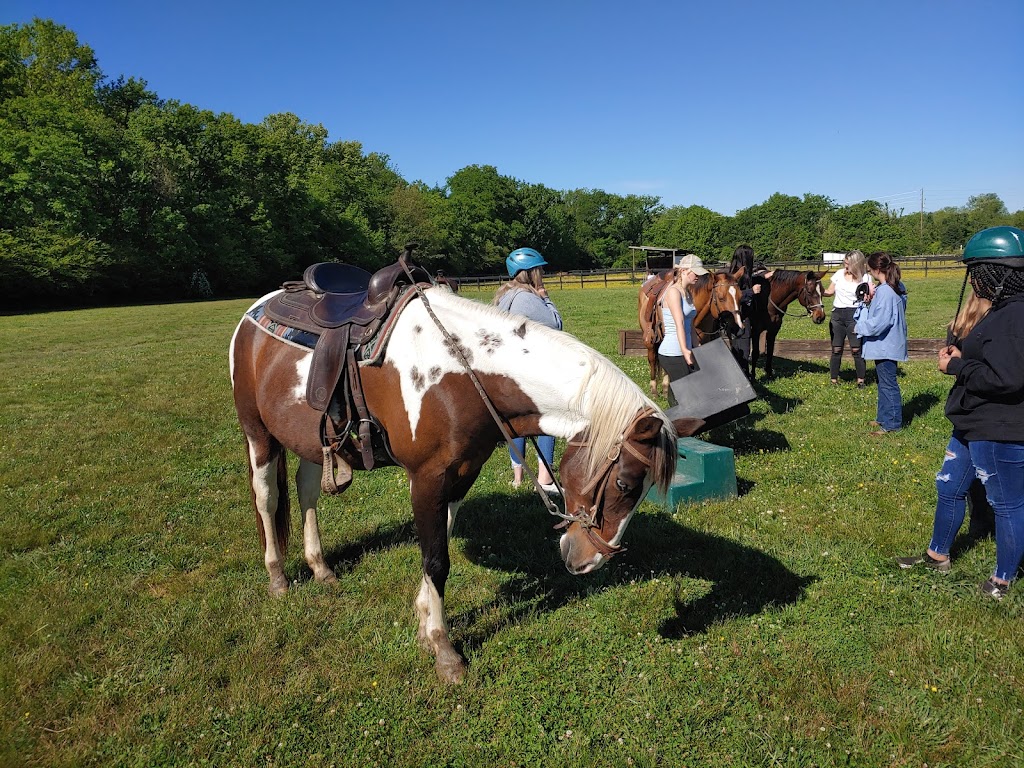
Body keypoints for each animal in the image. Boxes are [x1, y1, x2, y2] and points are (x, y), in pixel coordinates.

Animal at [230, 280, 704, 679]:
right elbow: (436, 561)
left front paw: (425, 625)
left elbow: (437, 547)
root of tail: (256, 309)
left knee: (307, 492)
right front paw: (445, 651)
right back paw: (277, 577)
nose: (588, 561)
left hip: (311, 441)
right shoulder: (425, 479)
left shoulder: (460, 475)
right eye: (625, 485)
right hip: (258, 433)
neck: (463, 375)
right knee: (267, 497)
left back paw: (320, 567)